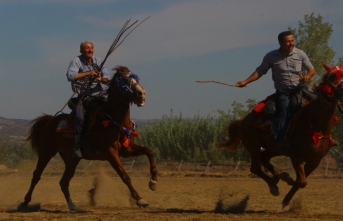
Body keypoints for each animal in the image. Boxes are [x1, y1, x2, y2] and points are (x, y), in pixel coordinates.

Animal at [19, 65, 158, 211]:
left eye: (138, 79)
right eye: (125, 80)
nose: (141, 94)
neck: (115, 120)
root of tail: (50, 121)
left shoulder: (126, 150)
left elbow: (149, 151)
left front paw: (153, 182)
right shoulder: (111, 152)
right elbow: (124, 176)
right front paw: (139, 199)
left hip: (72, 159)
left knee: (64, 181)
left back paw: (72, 205)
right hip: (46, 151)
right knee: (36, 175)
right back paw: (24, 203)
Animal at [219, 63, 343, 207]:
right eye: (333, 76)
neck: (316, 126)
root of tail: (243, 121)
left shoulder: (315, 160)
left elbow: (302, 182)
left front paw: (286, 199)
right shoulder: (296, 157)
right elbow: (301, 181)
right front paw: (287, 182)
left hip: (274, 148)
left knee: (264, 157)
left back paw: (278, 177)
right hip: (253, 145)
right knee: (256, 167)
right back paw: (275, 184)